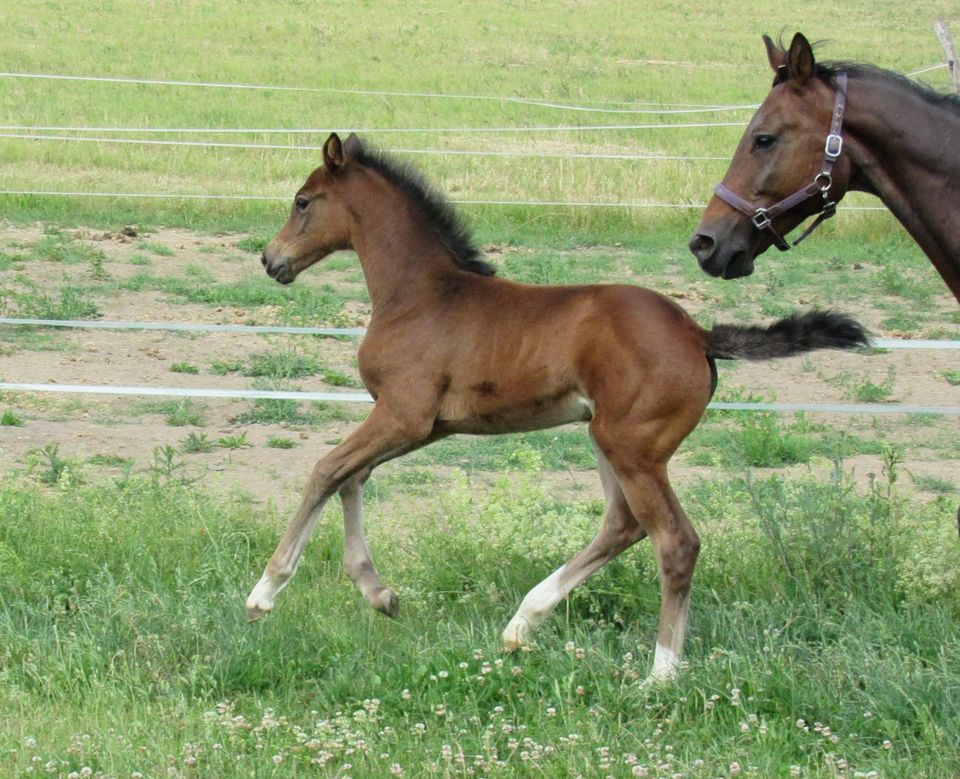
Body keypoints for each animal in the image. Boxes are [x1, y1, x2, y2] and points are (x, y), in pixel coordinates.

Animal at [244, 133, 868, 684]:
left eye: (302, 201)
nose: (270, 260)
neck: (421, 296)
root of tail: (698, 335)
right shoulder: (424, 426)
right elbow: (352, 477)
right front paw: (381, 595)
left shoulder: (403, 415)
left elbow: (326, 469)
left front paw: (265, 592)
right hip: (606, 438)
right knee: (623, 523)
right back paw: (524, 622)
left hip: (633, 448)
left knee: (674, 541)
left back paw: (661, 672)